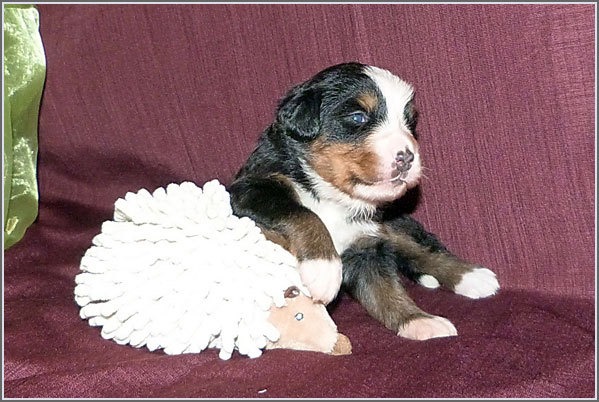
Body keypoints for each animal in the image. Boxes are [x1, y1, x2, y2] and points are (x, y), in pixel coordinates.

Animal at [229, 62, 499, 340]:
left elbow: (386, 292)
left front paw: (420, 321)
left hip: (391, 223)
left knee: (421, 248)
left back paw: (473, 276)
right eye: (358, 117)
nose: (407, 157)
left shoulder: (366, 246)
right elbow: (302, 213)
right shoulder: (251, 191)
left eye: (409, 122)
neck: (333, 196)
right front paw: (324, 268)